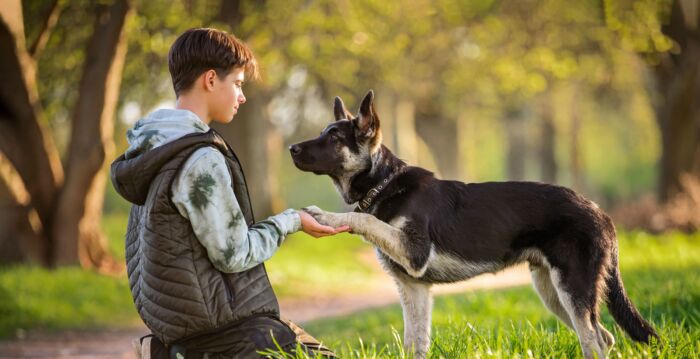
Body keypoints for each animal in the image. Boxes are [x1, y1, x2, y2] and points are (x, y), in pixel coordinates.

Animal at [288, 90, 660, 359]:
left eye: (334, 138)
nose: (291, 148)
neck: (383, 183)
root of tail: (602, 214)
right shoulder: (414, 290)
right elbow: (414, 345)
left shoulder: (414, 252)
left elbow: (361, 217)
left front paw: (326, 216)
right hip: (552, 291)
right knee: (604, 337)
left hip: (571, 288)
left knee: (593, 341)